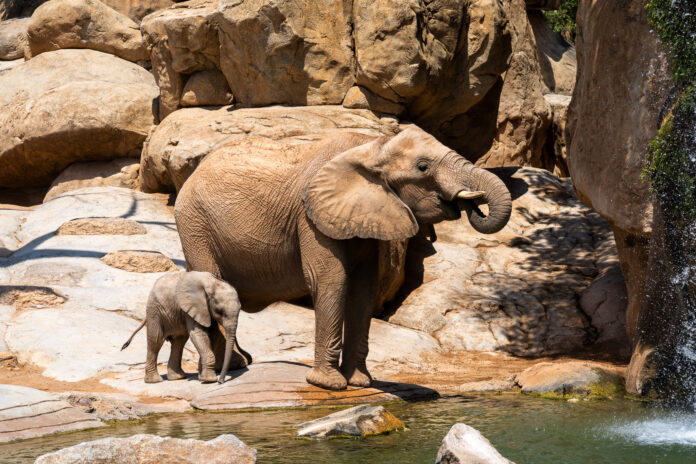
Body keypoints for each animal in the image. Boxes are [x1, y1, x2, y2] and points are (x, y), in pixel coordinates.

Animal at [122, 272, 250, 384]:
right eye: (220, 311)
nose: (221, 381)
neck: (212, 282)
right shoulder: (192, 306)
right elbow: (198, 333)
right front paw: (209, 380)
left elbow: (211, 334)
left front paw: (203, 376)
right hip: (155, 310)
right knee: (156, 341)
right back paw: (154, 381)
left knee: (179, 341)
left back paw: (178, 377)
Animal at [174, 125, 512, 390]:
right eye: (423, 167)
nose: (472, 205)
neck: (373, 145)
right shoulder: (310, 216)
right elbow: (331, 279)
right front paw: (329, 384)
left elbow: (365, 287)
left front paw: (361, 382)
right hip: (195, 223)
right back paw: (230, 368)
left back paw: (240, 362)